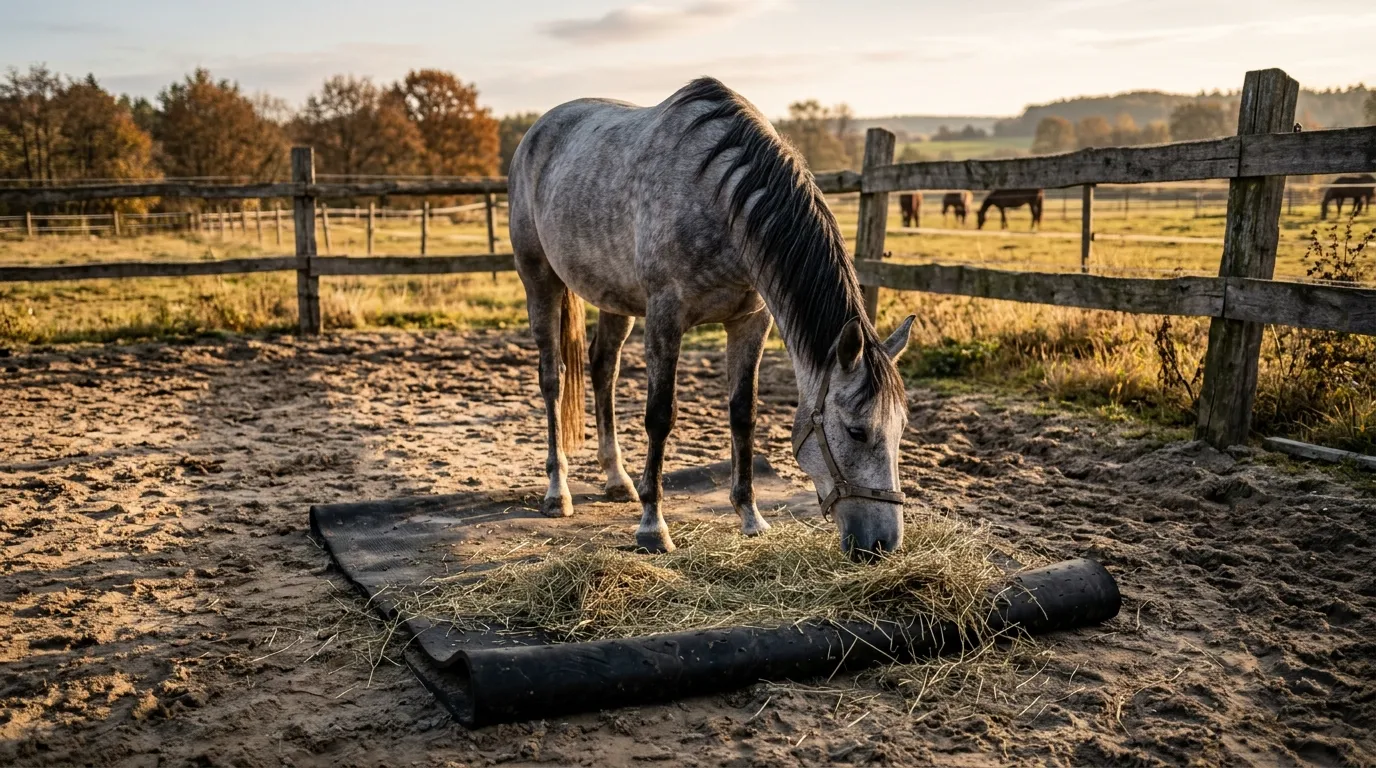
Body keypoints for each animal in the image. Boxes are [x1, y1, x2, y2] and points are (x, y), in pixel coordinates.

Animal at [508, 78, 916, 560]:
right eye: (856, 432)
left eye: (901, 429)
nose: (883, 543)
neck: (721, 199)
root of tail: (537, 132)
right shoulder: (665, 317)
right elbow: (660, 416)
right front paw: (652, 526)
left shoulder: (751, 322)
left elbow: (744, 413)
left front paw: (750, 516)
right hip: (540, 279)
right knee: (552, 377)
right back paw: (558, 491)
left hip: (615, 298)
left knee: (603, 367)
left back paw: (616, 479)